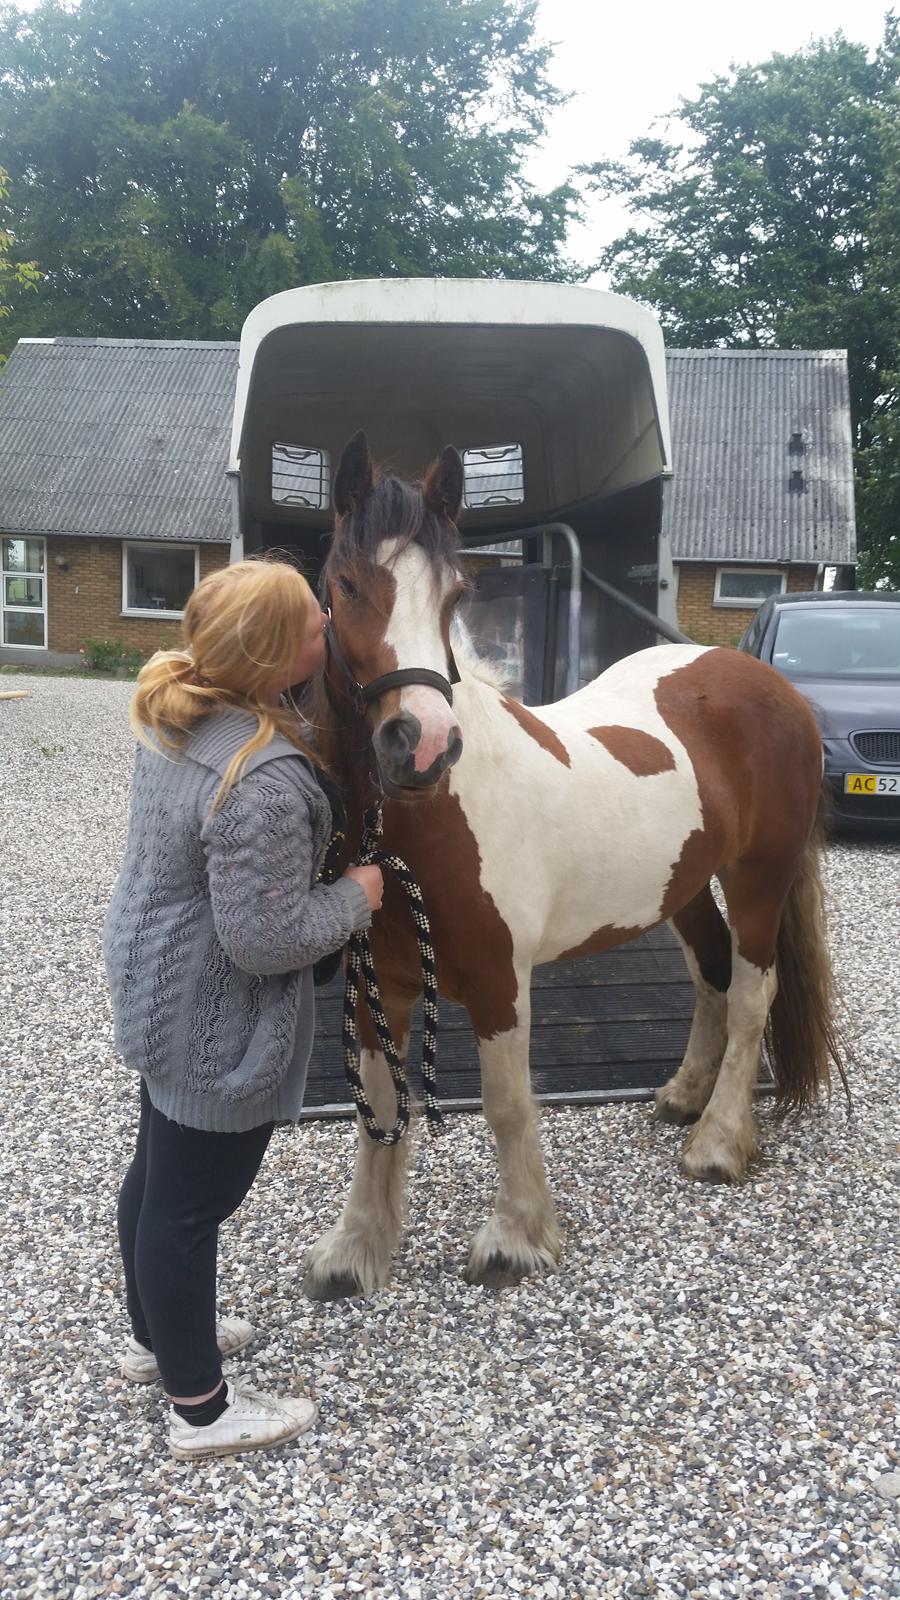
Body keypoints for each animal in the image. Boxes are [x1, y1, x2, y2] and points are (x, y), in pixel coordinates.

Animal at [304, 435, 845, 1299]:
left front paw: (517, 1240)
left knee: (753, 994)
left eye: (454, 595)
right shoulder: (374, 978)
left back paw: (717, 1142)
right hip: (682, 888)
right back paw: (682, 1097)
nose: (423, 746)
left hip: (758, 879)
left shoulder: (500, 980)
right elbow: (378, 1107)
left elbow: (507, 1105)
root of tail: (772, 686)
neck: (430, 820)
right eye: (346, 584)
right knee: (712, 975)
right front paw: (356, 1251)